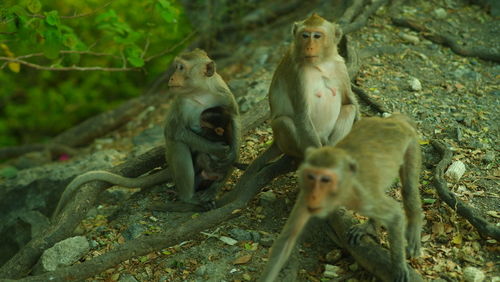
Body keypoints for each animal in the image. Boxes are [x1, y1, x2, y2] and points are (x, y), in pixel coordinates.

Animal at [52, 49, 240, 218]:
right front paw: (216, 148)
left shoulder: (223, 93)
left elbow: (234, 120)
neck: (200, 92)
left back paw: (214, 188)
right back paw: (189, 197)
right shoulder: (180, 102)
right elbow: (174, 131)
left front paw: (231, 154)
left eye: (180, 67)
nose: (171, 77)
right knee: (178, 144)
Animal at [262, 114, 422, 282]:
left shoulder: (361, 194)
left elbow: (395, 214)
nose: (315, 194)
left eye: (325, 180)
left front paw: (399, 267)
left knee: (409, 189)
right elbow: (286, 241)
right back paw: (370, 226)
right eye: (311, 177)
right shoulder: (304, 197)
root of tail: (393, 119)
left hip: (412, 143)